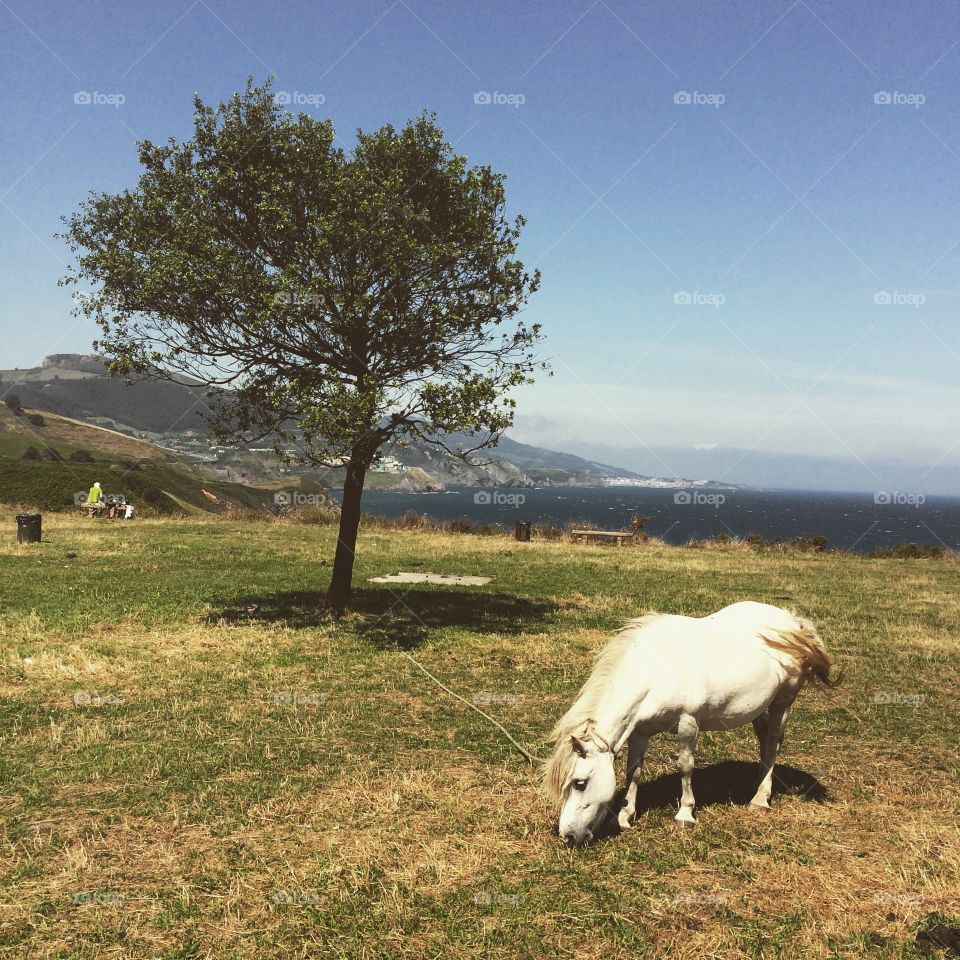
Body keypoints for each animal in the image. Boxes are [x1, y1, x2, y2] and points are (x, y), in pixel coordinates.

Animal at [543, 601, 840, 846]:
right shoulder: (640, 731)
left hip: (782, 702)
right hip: (758, 707)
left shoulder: (688, 723)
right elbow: (633, 772)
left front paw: (685, 813)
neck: (657, 669)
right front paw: (625, 816)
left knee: (774, 741)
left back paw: (760, 799)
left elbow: (686, 767)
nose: (568, 836)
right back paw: (758, 783)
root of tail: (792, 622)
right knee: (765, 742)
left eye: (580, 783)